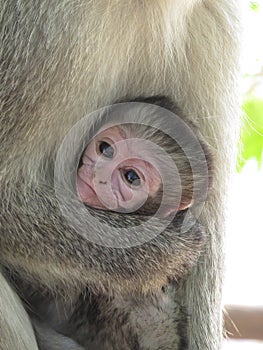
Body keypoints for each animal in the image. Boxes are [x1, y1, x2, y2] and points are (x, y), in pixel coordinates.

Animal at [0, 0, 241, 350]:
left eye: (131, 178)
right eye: (104, 149)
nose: (97, 175)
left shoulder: (215, 17)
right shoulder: (42, 24)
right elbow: (7, 198)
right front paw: (159, 251)